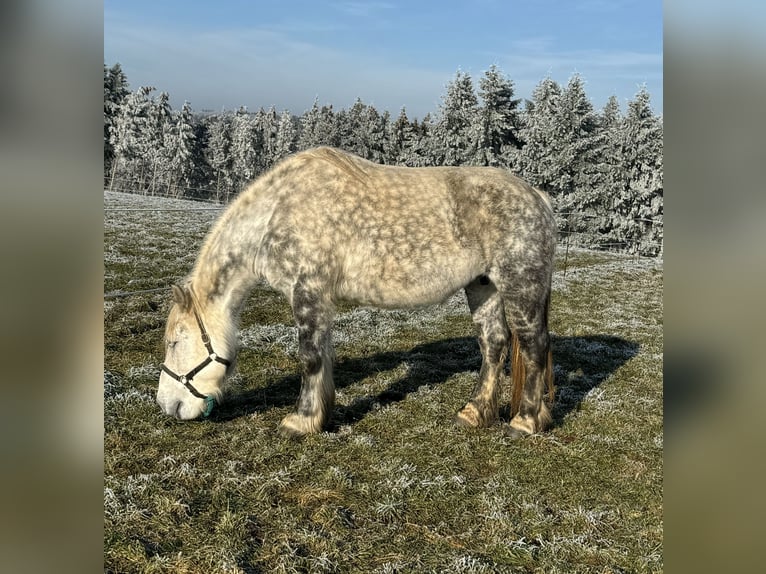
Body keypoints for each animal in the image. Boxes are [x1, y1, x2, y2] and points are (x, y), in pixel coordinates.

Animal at [158, 146, 552, 438]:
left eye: (175, 342)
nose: (167, 405)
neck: (276, 214)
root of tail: (538, 197)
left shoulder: (308, 292)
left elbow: (309, 358)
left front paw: (299, 422)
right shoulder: (318, 300)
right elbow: (323, 355)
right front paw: (320, 415)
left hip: (520, 285)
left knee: (534, 346)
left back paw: (525, 422)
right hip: (483, 286)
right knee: (494, 344)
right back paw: (474, 413)